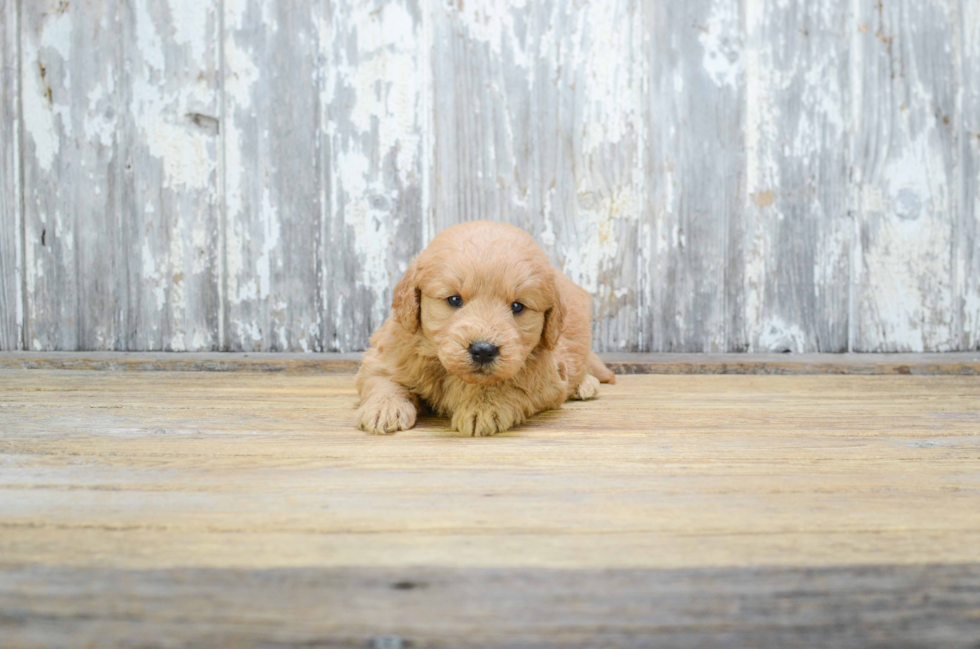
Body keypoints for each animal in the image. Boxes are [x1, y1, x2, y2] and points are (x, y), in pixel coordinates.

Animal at [356, 220, 616, 438]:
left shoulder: (547, 378)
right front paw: (384, 408)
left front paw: (484, 406)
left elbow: (513, 385)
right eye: (454, 300)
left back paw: (585, 384)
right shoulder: (389, 351)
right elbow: (383, 380)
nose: (483, 350)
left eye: (517, 306)